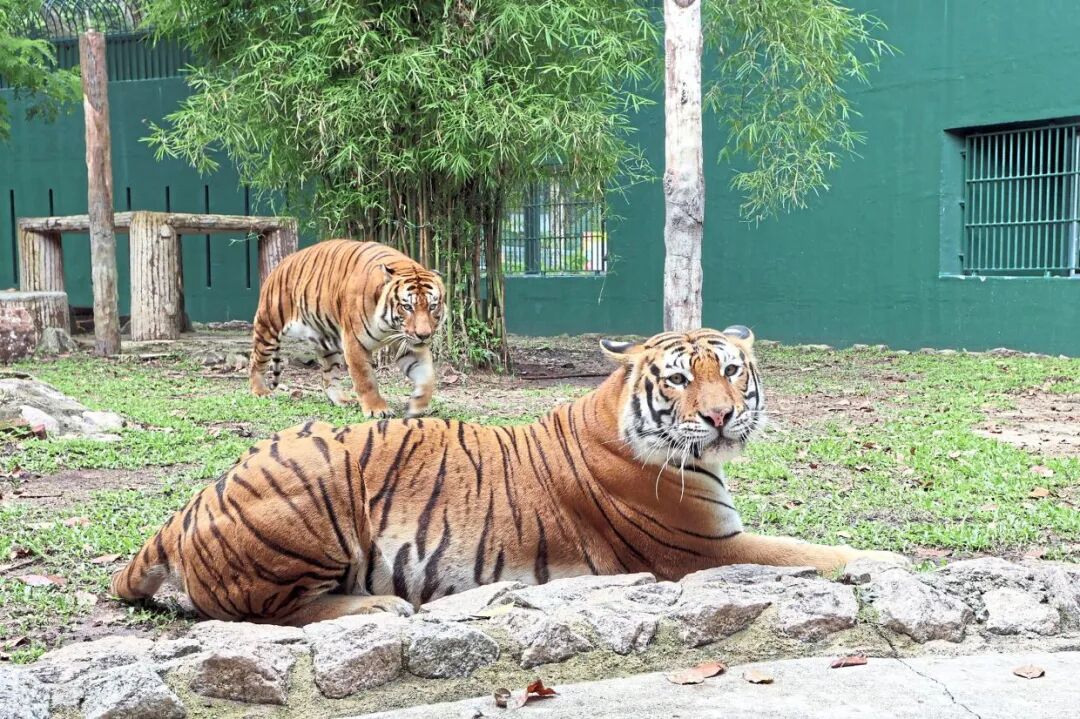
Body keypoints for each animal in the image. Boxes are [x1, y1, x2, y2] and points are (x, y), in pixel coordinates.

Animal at [113, 327, 906, 626]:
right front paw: (888, 557)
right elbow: (809, 552)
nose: (719, 416)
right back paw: (378, 606)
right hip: (315, 495)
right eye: (680, 379)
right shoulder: (707, 549)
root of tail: (182, 510)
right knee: (262, 614)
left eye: (733, 371)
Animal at [249, 239, 445, 418]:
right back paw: (260, 391)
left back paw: (342, 400)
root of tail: (281, 263)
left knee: (328, 377)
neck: (391, 327)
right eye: (407, 307)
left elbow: (427, 376)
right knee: (256, 360)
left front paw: (418, 405)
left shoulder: (406, 343)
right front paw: (377, 409)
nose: (424, 335)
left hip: (326, 341)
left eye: (432, 306)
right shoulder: (355, 342)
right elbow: (365, 378)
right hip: (268, 326)